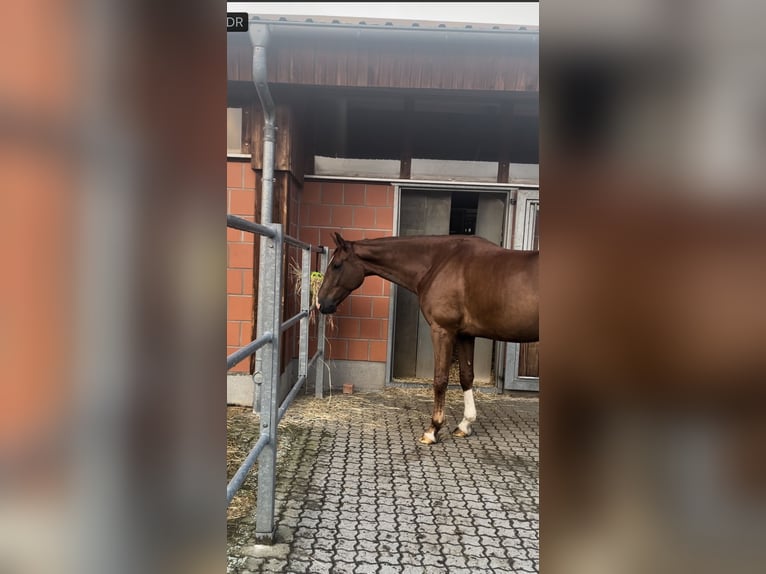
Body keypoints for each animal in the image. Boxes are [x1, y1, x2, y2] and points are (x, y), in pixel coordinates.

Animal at [316, 233, 540, 446]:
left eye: (336, 265)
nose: (320, 303)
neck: (440, 262)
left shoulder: (442, 331)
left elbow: (440, 380)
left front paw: (432, 430)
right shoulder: (465, 335)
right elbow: (466, 376)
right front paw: (465, 425)